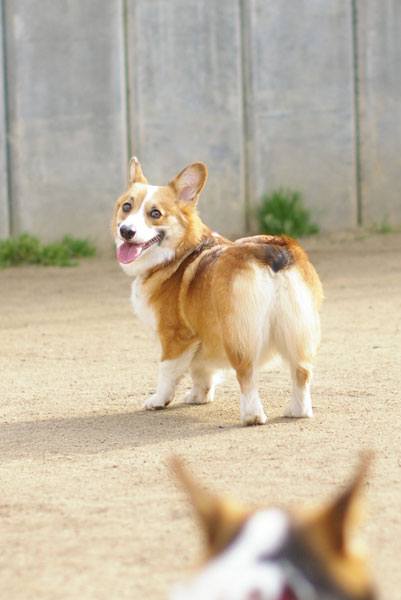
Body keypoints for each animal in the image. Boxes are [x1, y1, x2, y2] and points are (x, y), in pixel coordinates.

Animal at [112, 158, 323, 425]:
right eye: (126, 206)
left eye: (155, 214)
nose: (126, 231)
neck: (179, 251)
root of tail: (273, 250)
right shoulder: (201, 339)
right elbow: (200, 370)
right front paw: (199, 396)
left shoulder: (175, 336)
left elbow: (167, 371)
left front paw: (159, 400)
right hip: (297, 327)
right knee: (302, 372)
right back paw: (298, 411)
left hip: (238, 334)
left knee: (246, 374)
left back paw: (252, 416)